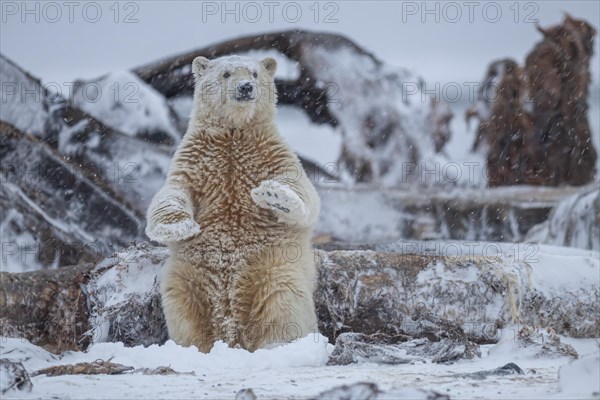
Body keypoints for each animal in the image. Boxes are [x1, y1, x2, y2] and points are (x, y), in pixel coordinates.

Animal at [145, 55, 322, 350]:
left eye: (254, 73)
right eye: (226, 73)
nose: (246, 87)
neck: (234, 134)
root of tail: (230, 327)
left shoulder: (271, 154)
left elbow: (301, 188)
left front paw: (274, 196)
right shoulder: (195, 160)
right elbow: (173, 191)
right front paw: (178, 227)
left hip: (276, 269)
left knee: (284, 306)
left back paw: (278, 345)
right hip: (187, 277)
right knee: (184, 312)